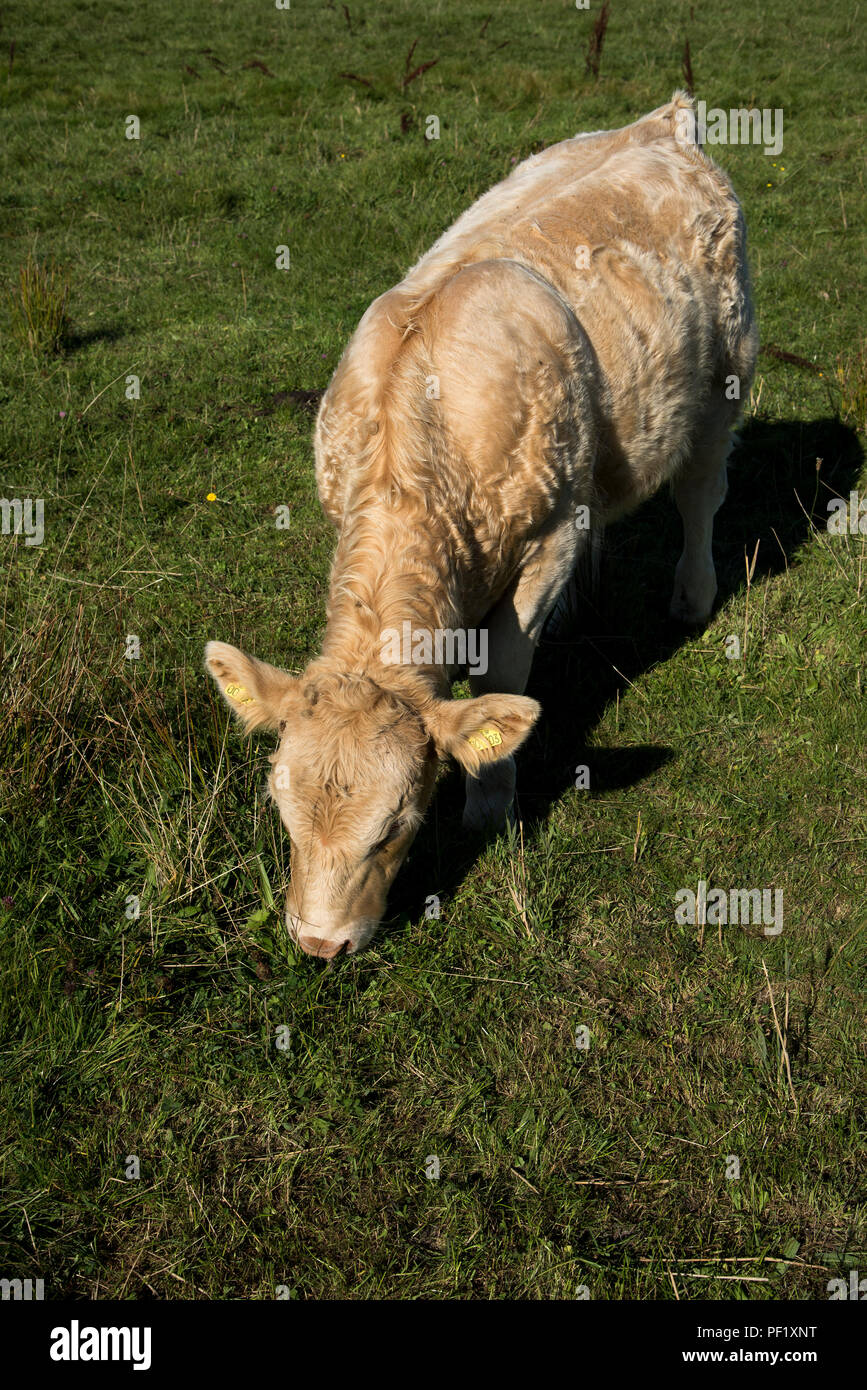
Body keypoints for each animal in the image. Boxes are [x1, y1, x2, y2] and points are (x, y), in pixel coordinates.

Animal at [204, 95, 755, 956]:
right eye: (282, 814)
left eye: (397, 827)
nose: (322, 945)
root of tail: (663, 121)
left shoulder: (547, 542)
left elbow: (502, 672)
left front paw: (490, 806)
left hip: (724, 374)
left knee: (700, 491)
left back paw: (691, 597)